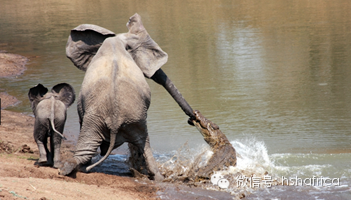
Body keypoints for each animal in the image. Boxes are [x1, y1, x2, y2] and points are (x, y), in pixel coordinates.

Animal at [58, 13, 195, 180]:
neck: (118, 40)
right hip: (123, 118)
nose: (192, 119)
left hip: (114, 119)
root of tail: (115, 121)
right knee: (143, 144)